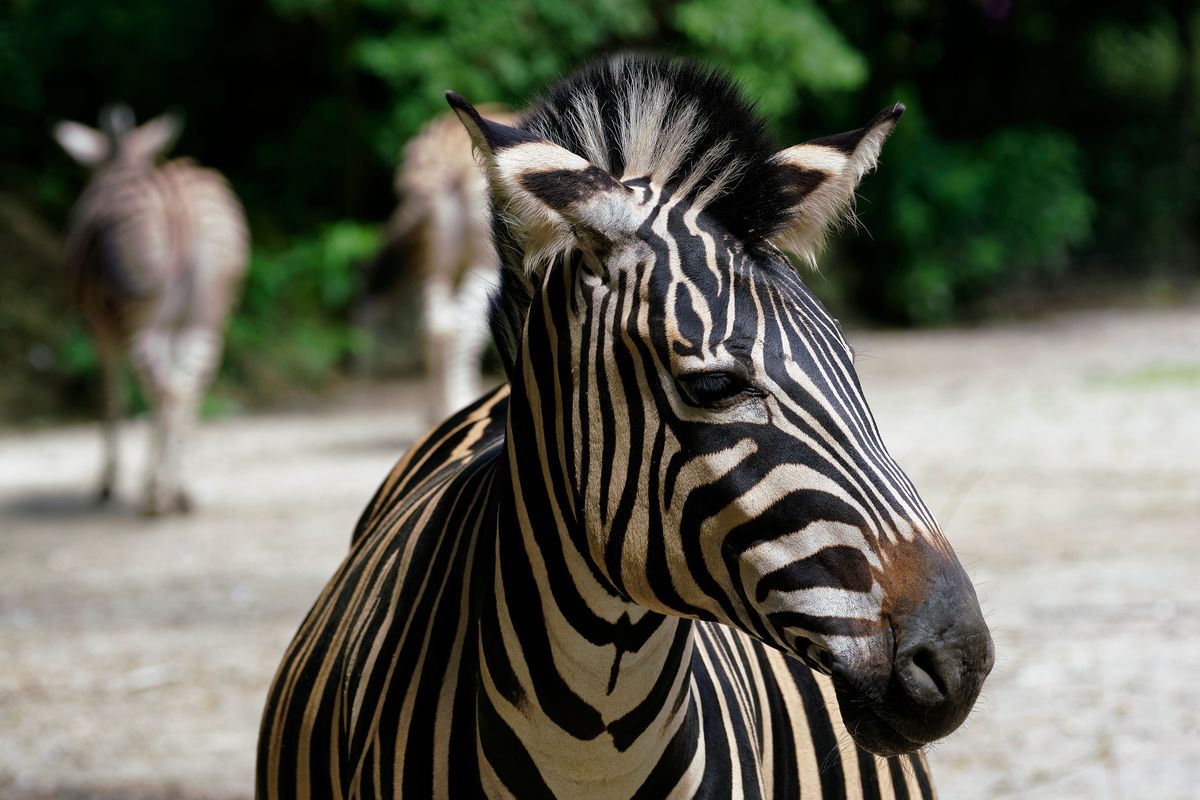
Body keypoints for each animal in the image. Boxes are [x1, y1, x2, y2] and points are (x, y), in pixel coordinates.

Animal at [53, 105, 249, 515]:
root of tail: (177, 199)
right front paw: (152, 479)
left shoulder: (101, 329)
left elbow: (111, 395)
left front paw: (109, 484)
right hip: (203, 319)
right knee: (186, 391)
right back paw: (181, 491)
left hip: (142, 318)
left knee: (165, 391)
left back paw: (157, 498)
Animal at [360, 106, 518, 419]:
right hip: (486, 258)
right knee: (461, 323)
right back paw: (461, 403)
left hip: (433, 256)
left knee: (436, 323)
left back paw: (441, 412)